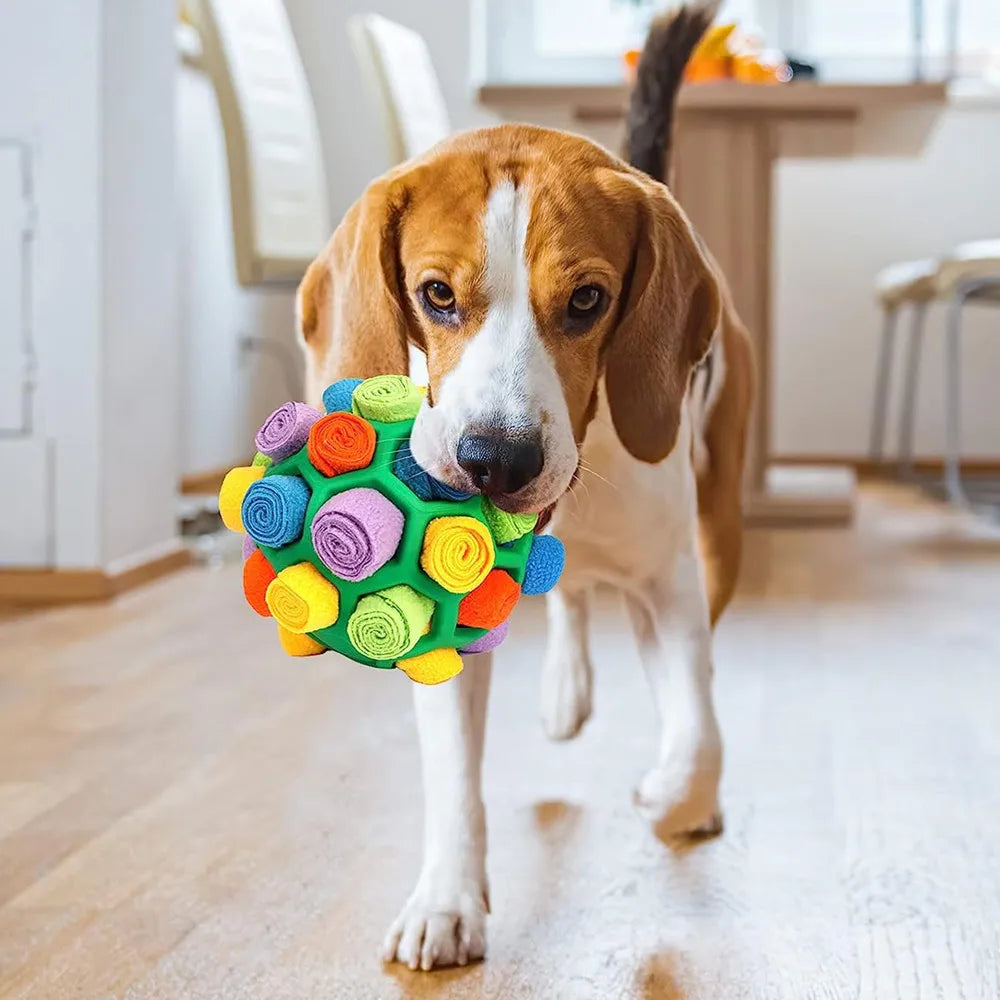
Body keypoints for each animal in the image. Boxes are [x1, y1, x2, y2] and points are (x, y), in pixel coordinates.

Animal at [296, 0, 752, 968]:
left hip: (719, 531)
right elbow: (452, 781)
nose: (493, 461)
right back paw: (564, 691)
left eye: (587, 302)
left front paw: (674, 795)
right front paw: (447, 898)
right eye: (435, 295)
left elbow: (698, 728)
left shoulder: (671, 583)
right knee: (572, 601)